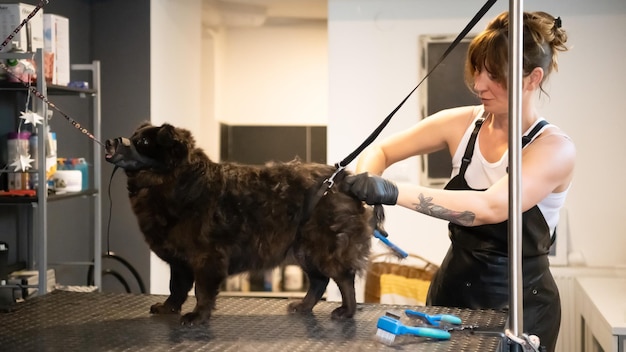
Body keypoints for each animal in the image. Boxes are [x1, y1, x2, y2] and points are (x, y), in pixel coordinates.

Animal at [103, 122, 376, 326]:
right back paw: (304, 305)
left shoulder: (207, 257)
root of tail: (342, 179)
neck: (181, 183)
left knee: (344, 279)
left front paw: (198, 316)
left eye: (144, 143)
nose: (109, 141)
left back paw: (347, 310)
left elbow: (201, 291)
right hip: (303, 251)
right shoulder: (180, 261)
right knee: (320, 281)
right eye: (133, 137)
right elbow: (176, 287)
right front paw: (169, 307)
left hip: (322, 248)